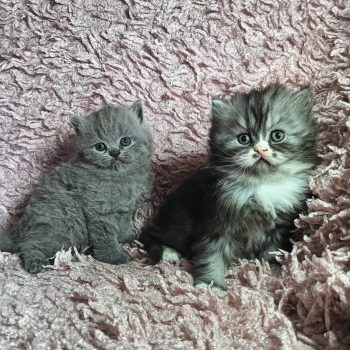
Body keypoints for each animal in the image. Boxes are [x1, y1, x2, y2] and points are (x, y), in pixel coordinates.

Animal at [0, 101, 153, 274]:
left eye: (125, 141)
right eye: (100, 147)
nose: (114, 152)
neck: (120, 177)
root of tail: (18, 230)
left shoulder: (126, 211)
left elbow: (124, 226)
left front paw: (127, 237)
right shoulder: (98, 212)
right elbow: (105, 236)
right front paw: (113, 256)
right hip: (68, 228)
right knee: (27, 245)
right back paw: (36, 262)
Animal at [139, 85, 318, 290]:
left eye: (277, 135)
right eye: (244, 139)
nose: (260, 149)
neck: (261, 184)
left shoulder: (280, 228)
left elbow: (272, 251)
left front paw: (270, 270)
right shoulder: (217, 221)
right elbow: (212, 255)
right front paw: (210, 283)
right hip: (178, 220)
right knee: (149, 233)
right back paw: (169, 252)